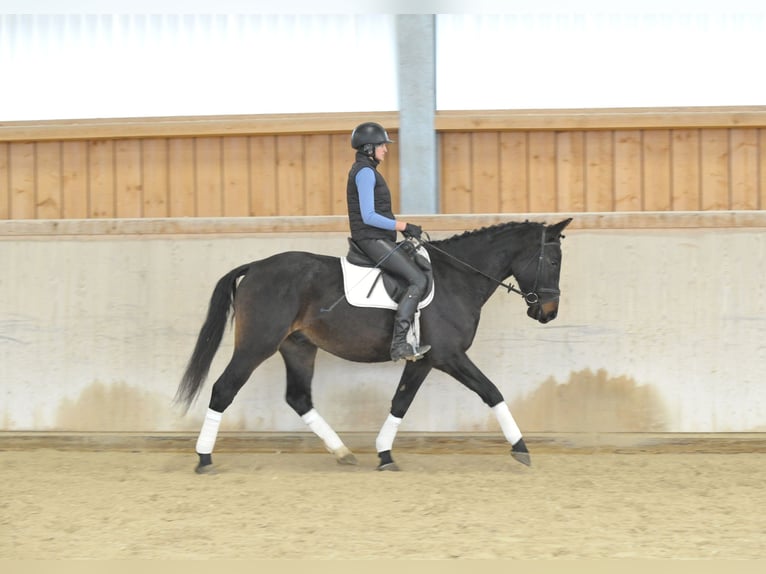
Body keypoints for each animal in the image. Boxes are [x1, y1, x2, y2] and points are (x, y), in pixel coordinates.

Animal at [175, 217, 572, 472]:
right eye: (553, 260)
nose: (548, 312)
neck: (457, 279)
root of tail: (255, 266)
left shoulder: (424, 360)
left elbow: (400, 402)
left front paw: (384, 453)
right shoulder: (448, 356)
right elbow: (491, 392)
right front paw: (521, 448)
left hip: (298, 346)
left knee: (299, 398)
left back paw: (342, 452)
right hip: (257, 343)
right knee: (224, 389)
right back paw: (204, 458)